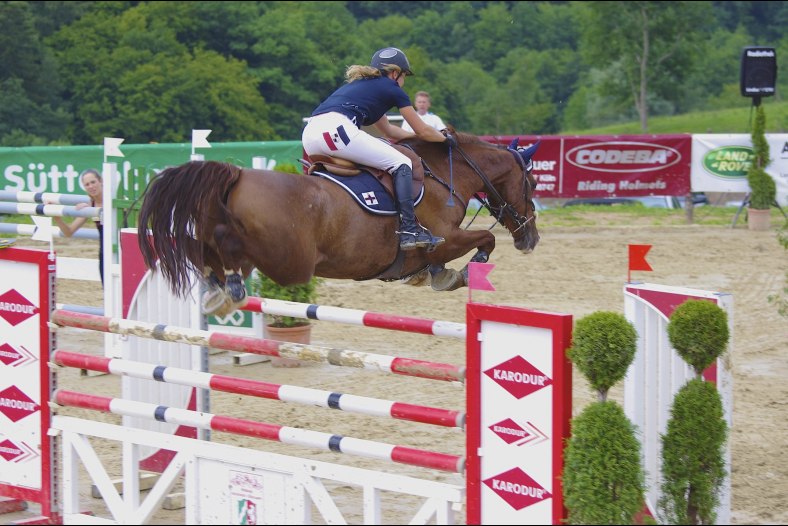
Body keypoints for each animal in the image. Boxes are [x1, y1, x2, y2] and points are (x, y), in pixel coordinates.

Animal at [136, 131, 540, 316]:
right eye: (532, 183)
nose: (531, 239)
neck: (443, 174)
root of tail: (237, 174)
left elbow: (439, 261)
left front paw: (435, 275)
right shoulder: (447, 236)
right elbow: (484, 240)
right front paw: (466, 271)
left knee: (203, 248)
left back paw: (216, 289)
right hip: (288, 260)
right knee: (226, 243)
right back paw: (231, 286)